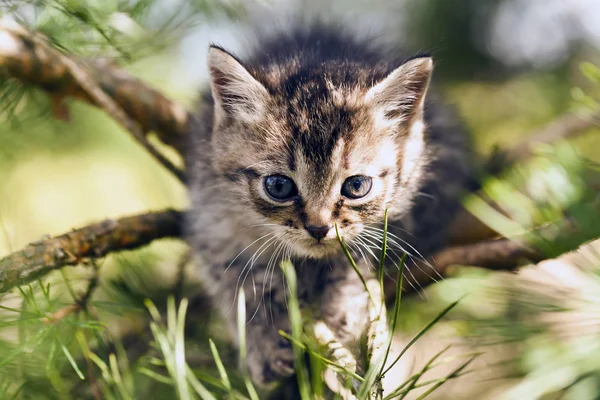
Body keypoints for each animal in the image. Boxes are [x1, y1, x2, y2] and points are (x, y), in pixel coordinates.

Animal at [185, 23, 472, 386]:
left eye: (356, 186)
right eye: (278, 186)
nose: (318, 227)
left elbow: (357, 262)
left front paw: (339, 318)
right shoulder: (212, 219)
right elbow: (238, 286)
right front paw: (263, 344)